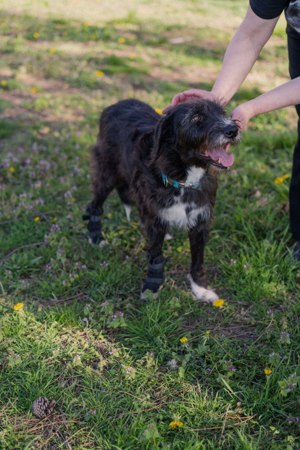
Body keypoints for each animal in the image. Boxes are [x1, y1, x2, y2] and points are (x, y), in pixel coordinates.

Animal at [84, 99, 239, 302]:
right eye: (196, 117)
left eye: (222, 113)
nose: (233, 129)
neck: (184, 180)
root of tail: (116, 104)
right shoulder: (155, 217)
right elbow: (156, 255)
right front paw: (153, 285)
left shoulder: (200, 221)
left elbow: (198, 259)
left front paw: (200, 288)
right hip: (106, 174)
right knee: (94, 205)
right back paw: (96, 236)